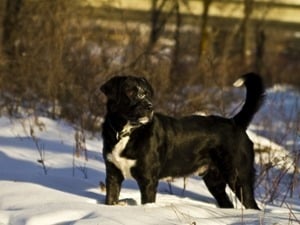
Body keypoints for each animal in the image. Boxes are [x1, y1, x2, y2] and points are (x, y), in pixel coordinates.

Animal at [101, 72, 264, 209]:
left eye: (146, 93)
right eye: (130, 91)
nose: (149, 106)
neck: (126, 132)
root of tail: (234, 122)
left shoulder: (148, 180)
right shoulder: (113, 175)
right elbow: (110, 200)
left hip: (238, 176)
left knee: (252, 205)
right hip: (214, 180)